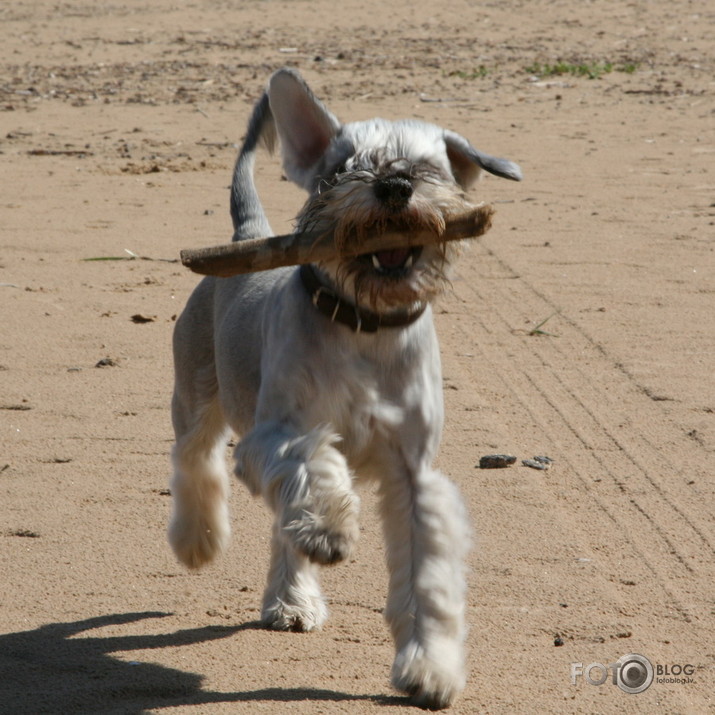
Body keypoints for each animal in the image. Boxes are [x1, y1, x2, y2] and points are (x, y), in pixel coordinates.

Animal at [171, 68, 524, 712]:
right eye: (341, 168)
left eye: (428, 165)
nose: (394, 185)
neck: (364, 326)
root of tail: (250, 231)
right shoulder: (278, 434)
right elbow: (314, 465)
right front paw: (331, 527)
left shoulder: (414, 476)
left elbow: (426, 581)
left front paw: (428, 668)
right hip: (196, 397)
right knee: (194, 461)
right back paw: (198, 540)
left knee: (280, 528)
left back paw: (290, 601)